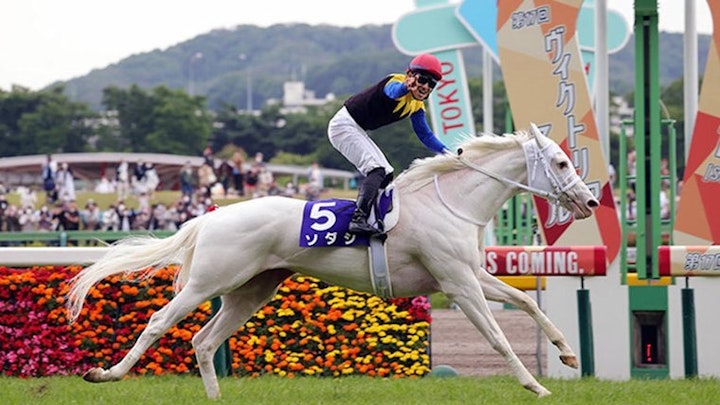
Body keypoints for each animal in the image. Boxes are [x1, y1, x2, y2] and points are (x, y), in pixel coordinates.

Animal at [66, 124, 599, 399]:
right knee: (160, 321)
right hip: (209, 282)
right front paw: (534, 384)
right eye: (560, 162)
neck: (451, 201)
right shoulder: (458, 283)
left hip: (253, 290)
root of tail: (209, 218)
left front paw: (567, 354)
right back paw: (106, 374)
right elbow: (497, 336)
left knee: (204, 340)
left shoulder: (469, 275)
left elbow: (525, 304)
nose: (591, 202)